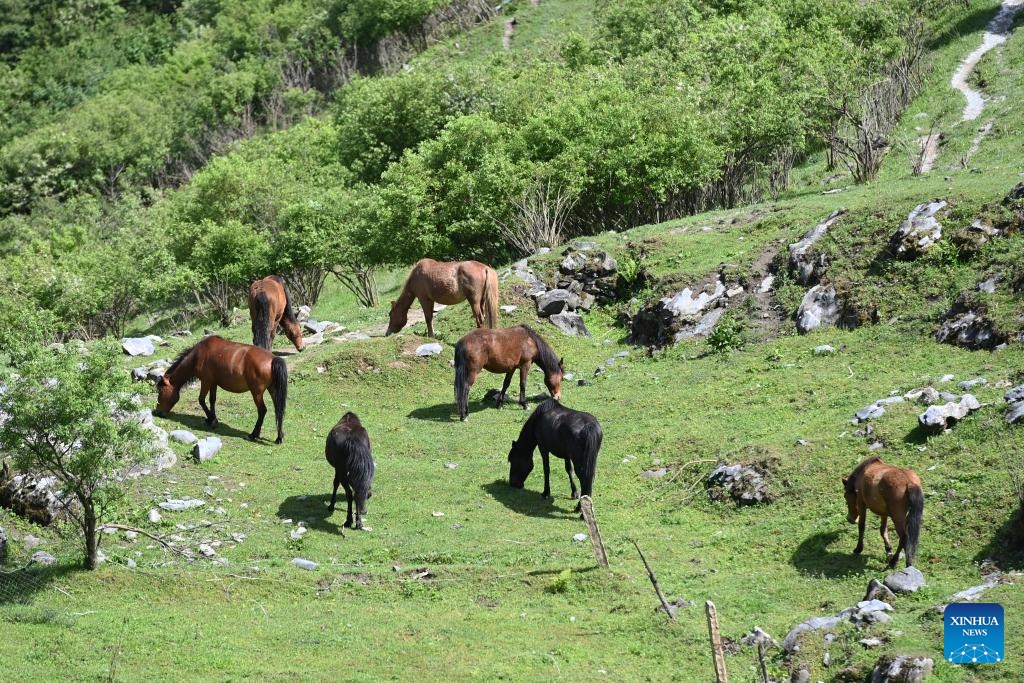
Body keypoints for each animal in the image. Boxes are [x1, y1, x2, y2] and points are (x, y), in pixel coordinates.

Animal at [153, 335, 288, 444]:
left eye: (161, 391)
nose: (157, 412)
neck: (198, 355)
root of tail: (273, 359)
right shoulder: (213, 383)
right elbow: (212, 400)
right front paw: (212, 419)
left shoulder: (206, 382)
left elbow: (201, 400)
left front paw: (211, 419)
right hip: (273, 390)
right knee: (278, 409)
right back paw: (279, 437)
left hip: (257, 393)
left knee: (262, 411)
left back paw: (253, 434)